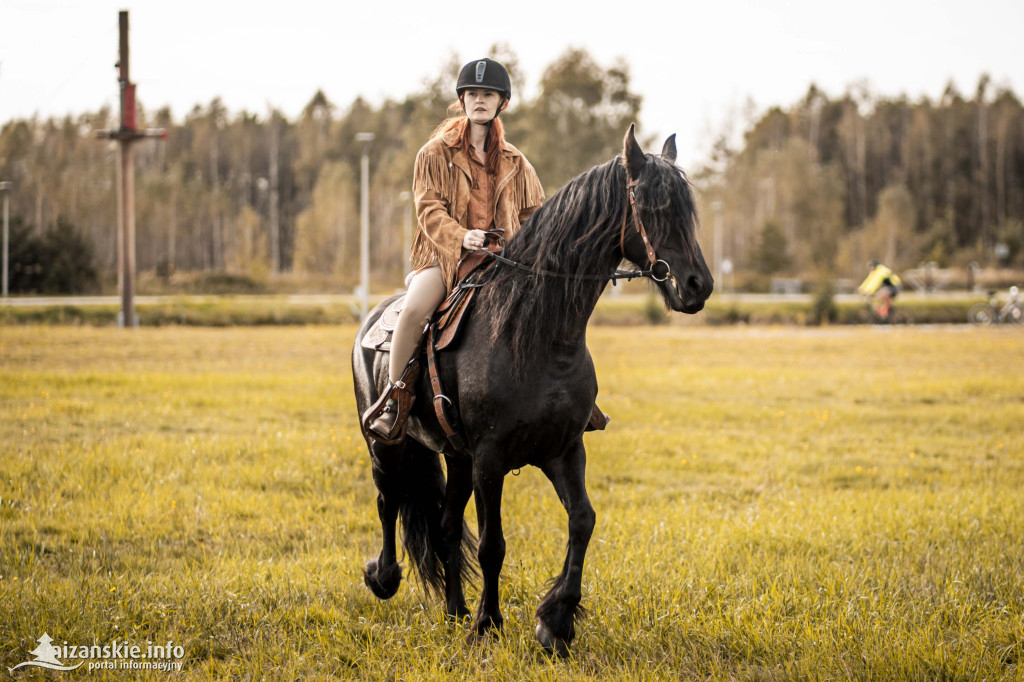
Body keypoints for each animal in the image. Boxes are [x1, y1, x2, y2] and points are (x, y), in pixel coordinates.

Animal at [352, 125, 712, 655]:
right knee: (388, 500)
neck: (536, 334)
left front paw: (555, 622)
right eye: (652, 206)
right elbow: (492, 544)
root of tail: (375, 315)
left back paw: (455, 611)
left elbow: (583, 521)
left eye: (689, 210)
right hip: (386, 444)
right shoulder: (491, 458)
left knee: (443, 526)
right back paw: (384, 577)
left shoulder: (564, 449)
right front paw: (489, 624)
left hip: (455, 457)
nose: (697, 285)